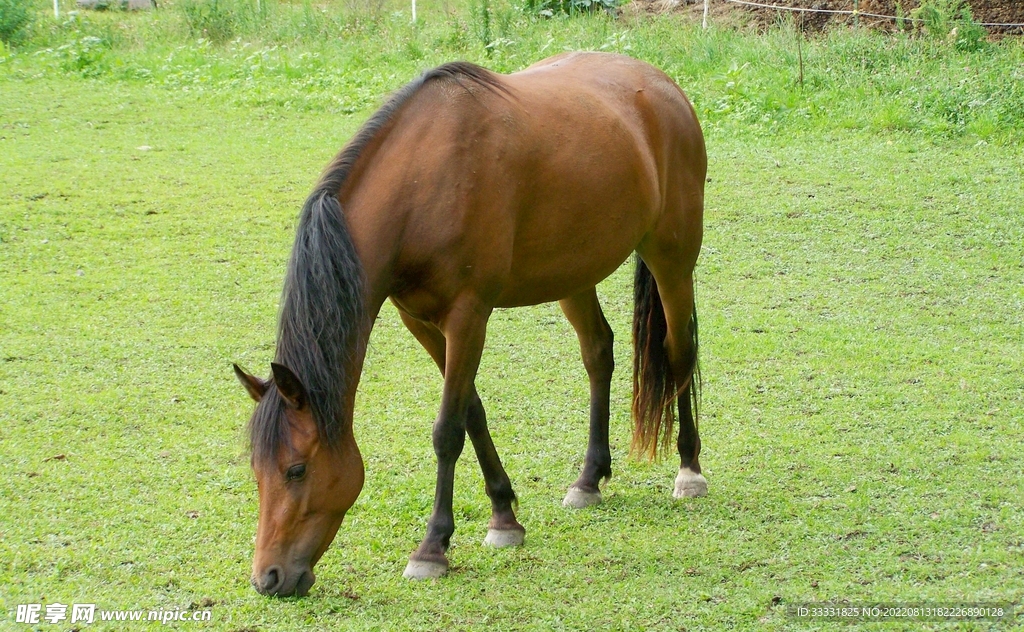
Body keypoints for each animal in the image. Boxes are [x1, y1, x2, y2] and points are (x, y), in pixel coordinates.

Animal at [233, 51, 707, 596]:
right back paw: (589, 479)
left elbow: (447, 430)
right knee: (598, 354)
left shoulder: (467, 316)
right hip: (575, 273)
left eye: (296, 470)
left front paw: (432, 548)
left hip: (671, 257)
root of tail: (662, 84)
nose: (267, 578)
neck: (421, 182)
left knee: (679, 351)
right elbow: (473, 412)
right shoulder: (419, 320)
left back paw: (690, 469)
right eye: (256, 469)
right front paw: (504, 516)